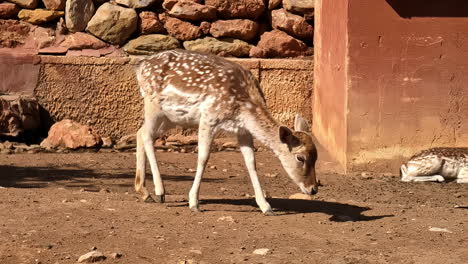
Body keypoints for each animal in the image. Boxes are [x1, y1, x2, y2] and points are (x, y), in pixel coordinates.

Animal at [133, 49, 320, 214]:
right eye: (300, 158)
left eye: (316, 157)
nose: (313, 189)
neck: (244, 105)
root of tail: (140, 66)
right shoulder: (208, 117)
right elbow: (203, 158)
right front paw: (194, 203)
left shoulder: (243, 130)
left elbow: (251, 162)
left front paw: (266, 206)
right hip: (153, 103)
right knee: (147, 135)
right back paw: (159, 192)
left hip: (172, 117)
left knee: (140, 132)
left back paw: (144, 192)